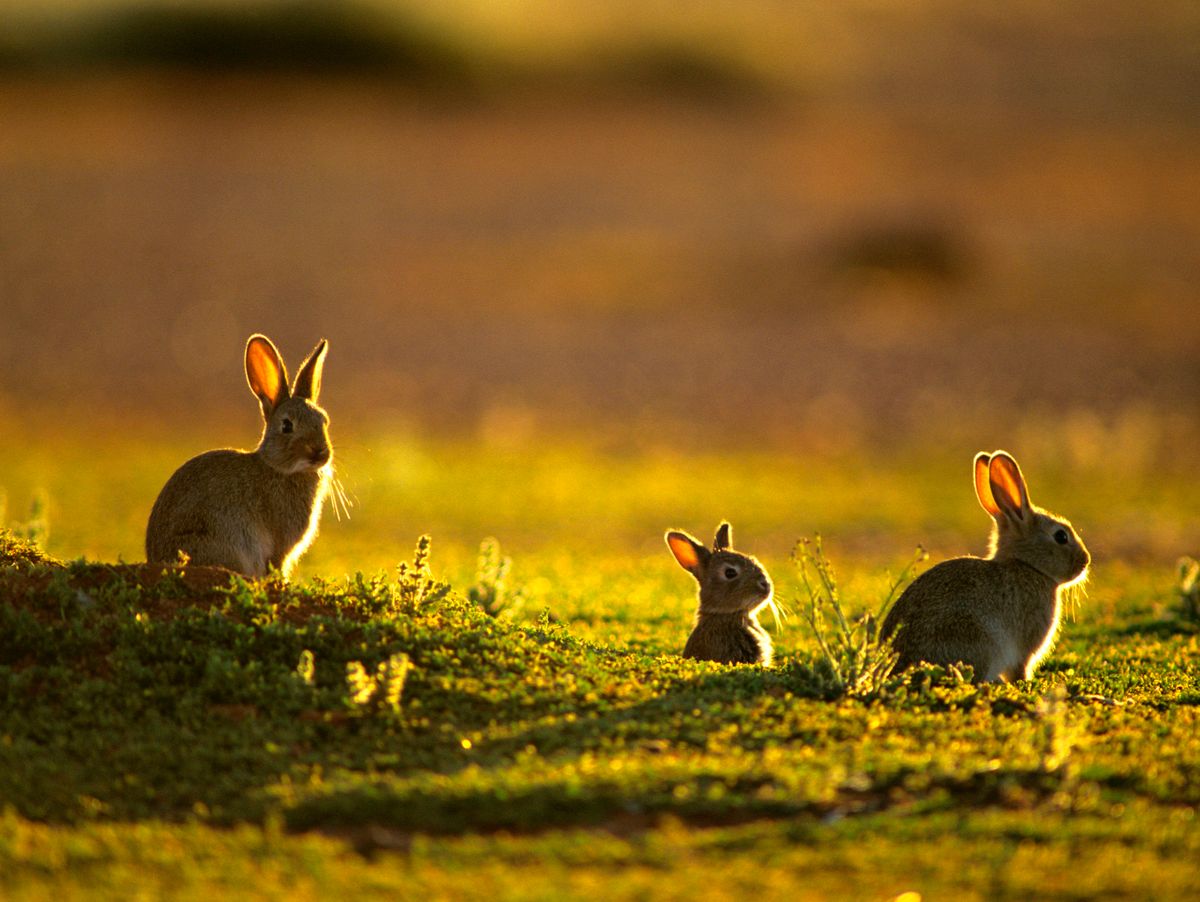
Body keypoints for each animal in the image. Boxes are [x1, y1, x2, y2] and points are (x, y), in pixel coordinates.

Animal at [880, 450, 1090, 683]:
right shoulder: (1024, 648)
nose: (1085, 561)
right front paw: (1024, 683)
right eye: (1061, 536)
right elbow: (1020, 669)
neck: (1028, 566)